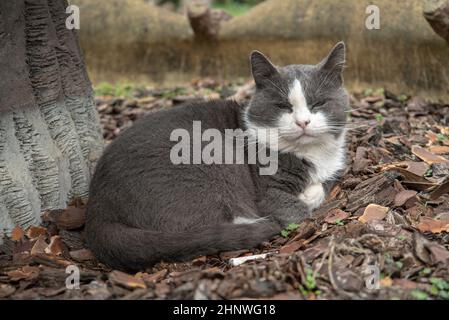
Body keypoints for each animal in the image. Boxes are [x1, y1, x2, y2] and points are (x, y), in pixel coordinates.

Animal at [86, 42, 348, 270]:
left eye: (318, 103)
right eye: (283, 106)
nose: (303, 122)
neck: (309, 153)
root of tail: (98, 210)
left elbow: (323, 185)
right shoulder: (268, 192)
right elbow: (295, 209)